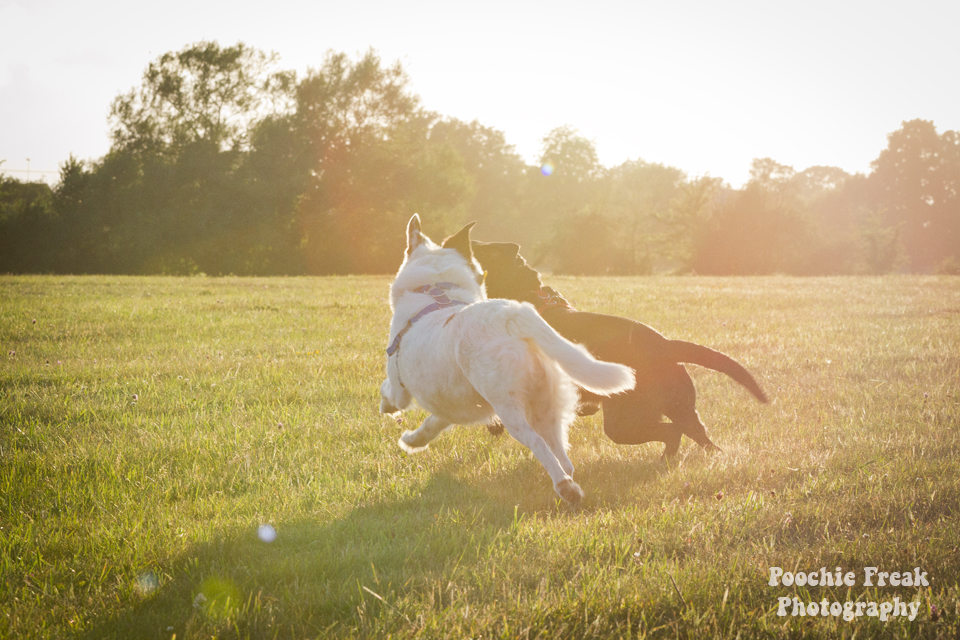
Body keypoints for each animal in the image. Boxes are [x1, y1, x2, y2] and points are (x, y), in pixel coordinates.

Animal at [376, 215, 636, 504]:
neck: (436, 288)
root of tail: (511, 315)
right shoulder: (452, 405)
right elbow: (432, 424)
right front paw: (412, 440)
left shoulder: (399, 385)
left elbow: (388, 391)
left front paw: (387, 409)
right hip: (546, 406)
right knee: (562, 455)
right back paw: (565, 483)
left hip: (510, 408)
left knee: (539, 445)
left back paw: (566, 488)